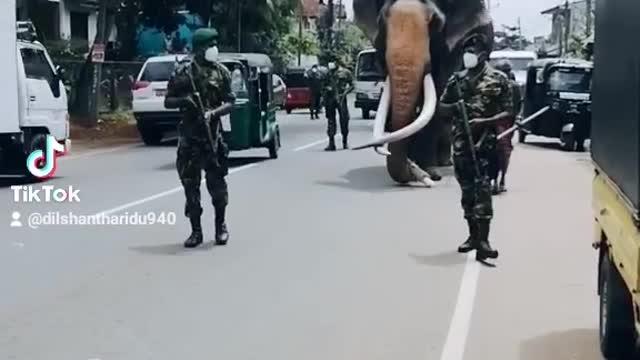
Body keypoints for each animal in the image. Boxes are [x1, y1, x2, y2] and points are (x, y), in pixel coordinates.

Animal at [352, 0, 492, 186]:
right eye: (382, 21)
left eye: (434, 23)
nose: (413, 171)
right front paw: (416, 164)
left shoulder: (452, 51)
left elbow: (437, 100)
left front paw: (431, 172)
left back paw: (444, 163)